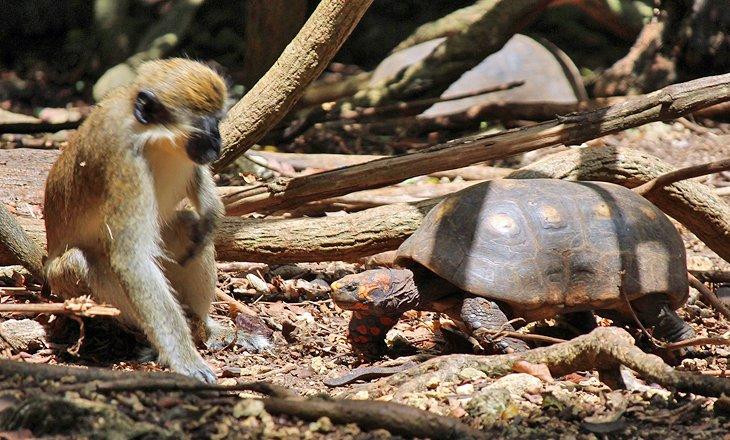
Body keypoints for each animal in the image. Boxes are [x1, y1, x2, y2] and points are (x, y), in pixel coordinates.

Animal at [43, 58, 269, 382]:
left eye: (218, 121)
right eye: (205, 127)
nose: (218, 141)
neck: (154, 139)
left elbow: (198, 190)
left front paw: (212, 211)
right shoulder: (124, 166)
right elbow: (132, 260)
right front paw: (183, 358)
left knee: (186, 229)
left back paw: (207, 329)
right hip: (61, 281)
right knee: (83, 262)